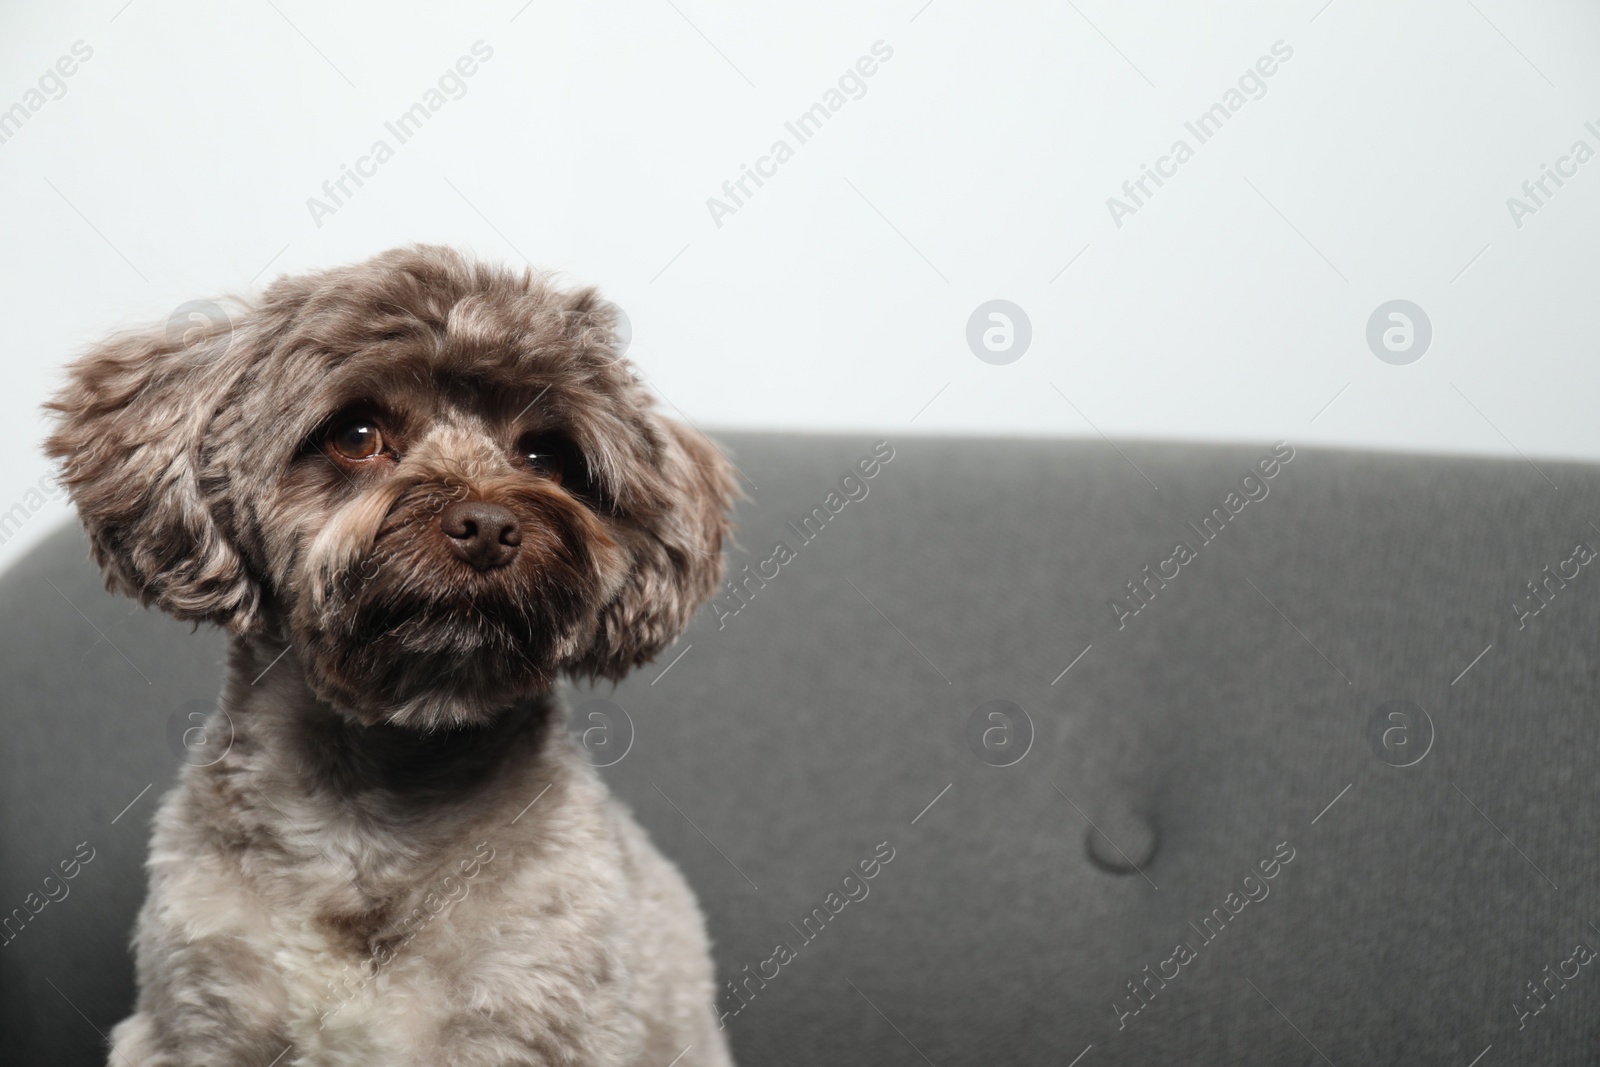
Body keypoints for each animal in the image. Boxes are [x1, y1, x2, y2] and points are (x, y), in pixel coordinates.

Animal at [46, 244, 739, 1067]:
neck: (377, 811)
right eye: (356, 434)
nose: (487, 525)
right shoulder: (195, 1023)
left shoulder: (533, 1018)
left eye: (546, 454)